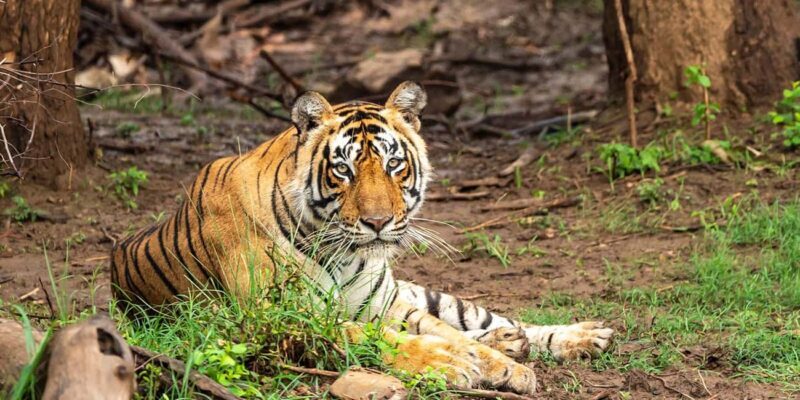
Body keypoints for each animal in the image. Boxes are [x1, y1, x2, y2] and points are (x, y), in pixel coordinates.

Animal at [110, 81, 614, 394]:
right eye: (343, 169)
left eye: (393, 165)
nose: (377, 222)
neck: (344, 254)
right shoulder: (291, 318)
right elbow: (399, 341)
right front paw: (454, 364)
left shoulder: (385, 304)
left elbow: (445, 332)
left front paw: (504, 366)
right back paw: (514, 342)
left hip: (419, 293)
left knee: (481, 318)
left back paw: (579, 336)